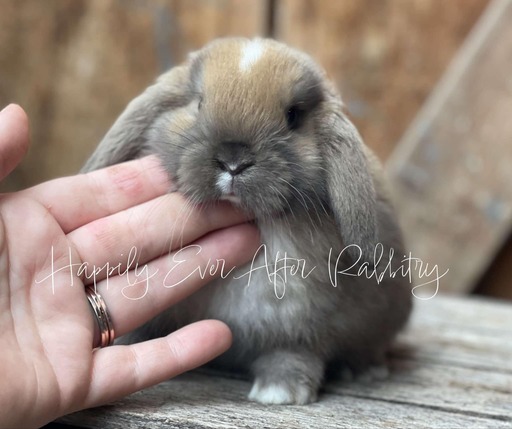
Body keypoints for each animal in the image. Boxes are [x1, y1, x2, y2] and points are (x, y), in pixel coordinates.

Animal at [82, 37, 414, 404]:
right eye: (199, 103)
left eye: (293, 115)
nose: (233, 160)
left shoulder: (300, 319)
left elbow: (294, 352)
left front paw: (280, 393)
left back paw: (366, 371)